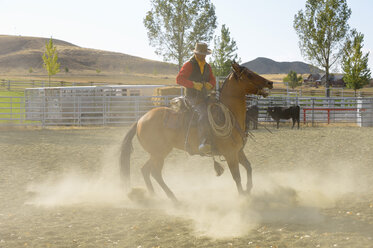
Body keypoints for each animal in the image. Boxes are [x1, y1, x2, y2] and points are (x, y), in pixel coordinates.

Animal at [120, 62, 274, 203]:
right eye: (249, 75)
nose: (270, 82)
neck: (228, 115)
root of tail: (140, 120)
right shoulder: (230, 153)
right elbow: (237, 176)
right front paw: (242, 197)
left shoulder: (238, 151)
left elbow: (248, 167)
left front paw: (248, 189)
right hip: (159, 153)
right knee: (155, 173)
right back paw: (173, 198)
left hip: (156, 153)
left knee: (145, 170)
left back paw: (154, 195)